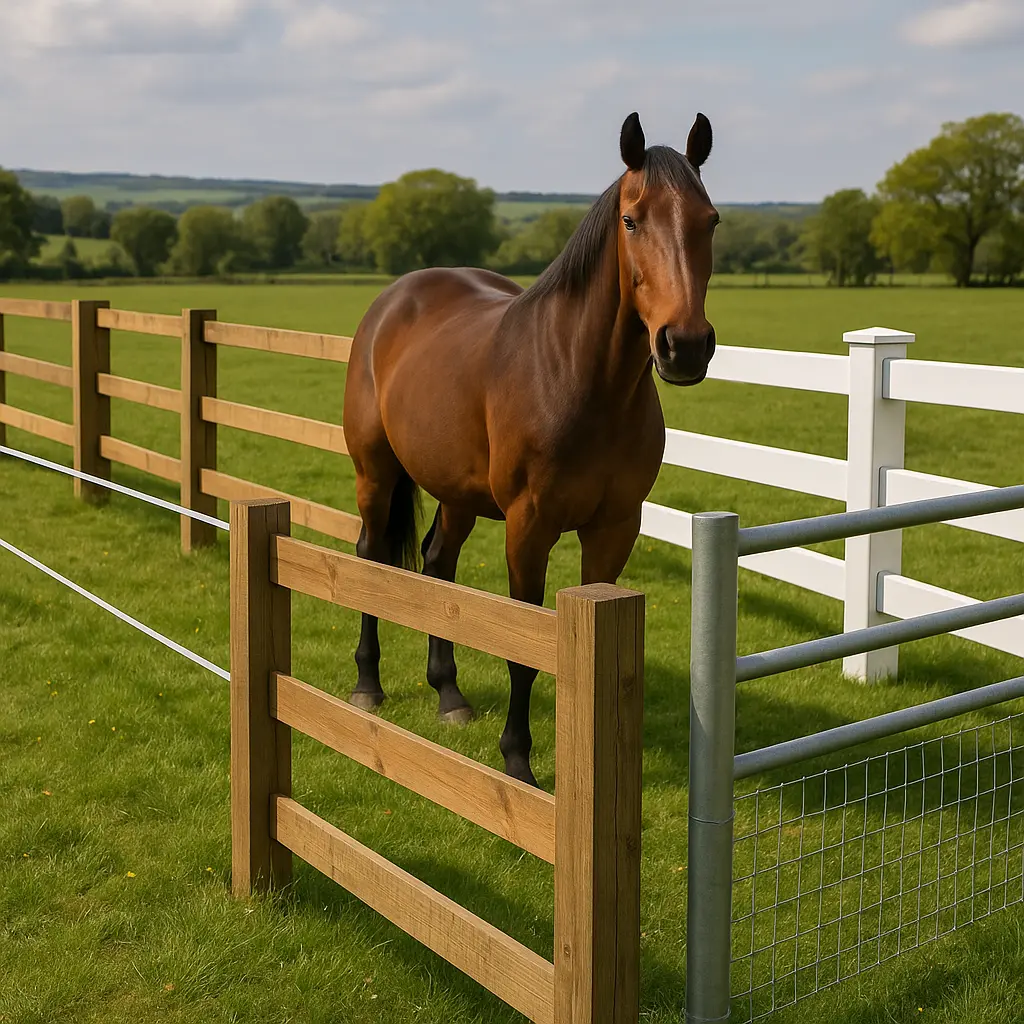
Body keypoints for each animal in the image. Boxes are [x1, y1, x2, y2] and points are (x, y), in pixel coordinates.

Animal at [342, 111, 719, 786]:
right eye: (632, 220)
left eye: (711, 220)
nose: (685, 345)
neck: (579, 378)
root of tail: (394, 300)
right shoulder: (528, 527)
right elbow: (524, 648)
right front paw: (518, 760)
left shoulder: (614, 528)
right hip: (375, 475)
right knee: (372, 556)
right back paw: (368, 685)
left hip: (457, 493)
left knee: (438, 561)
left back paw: (450, 695)